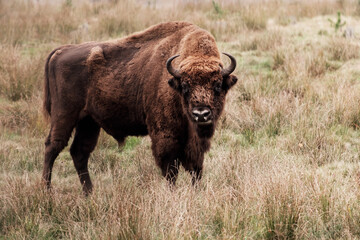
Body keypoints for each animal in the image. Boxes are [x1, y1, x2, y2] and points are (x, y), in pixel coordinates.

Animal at [42, 21, 236, 194]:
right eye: (185, 86)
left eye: (217, 85)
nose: (201, 114)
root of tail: (60, 51)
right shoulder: (165, 136)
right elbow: (170, 170)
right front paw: (172, 194)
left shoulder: (195, 144)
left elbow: (196, 169)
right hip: (64, 116)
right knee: (52, 146)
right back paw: (47, 190)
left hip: (88, 122)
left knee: (79, 152)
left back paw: (89, 192)